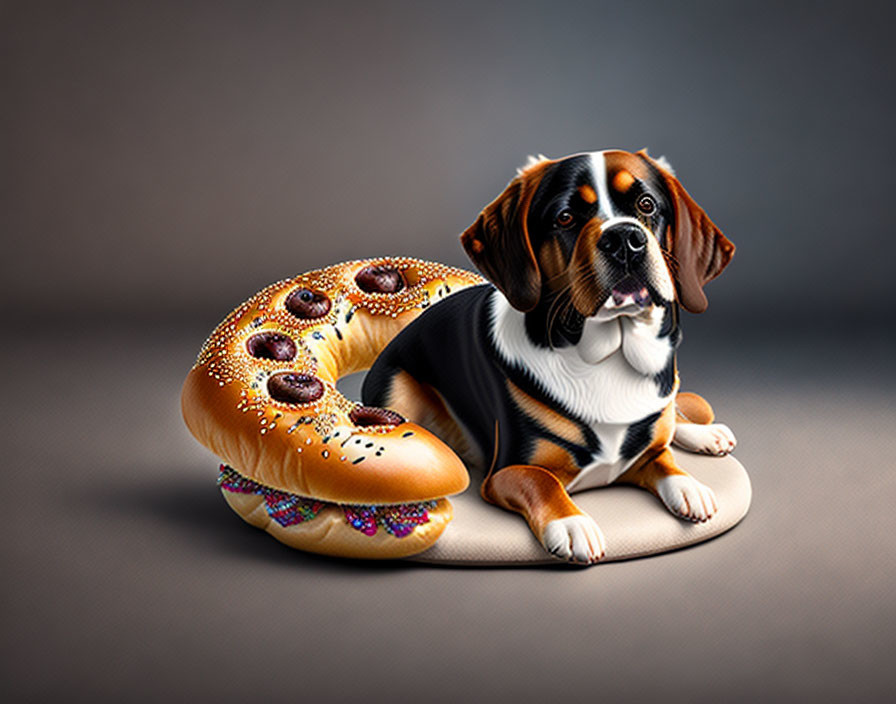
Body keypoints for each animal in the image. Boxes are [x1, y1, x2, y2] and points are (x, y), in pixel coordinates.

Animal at [360, 150, 740, 568]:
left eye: (646, 205)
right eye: (566, 217)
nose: (625, 239)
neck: (606, 358)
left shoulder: (642, 449)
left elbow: (663, 456)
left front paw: (688, 485)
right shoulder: (507, 471)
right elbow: (541, 480)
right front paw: (573, 523)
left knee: (673, 416)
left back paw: (704, 433)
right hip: (398, 389)